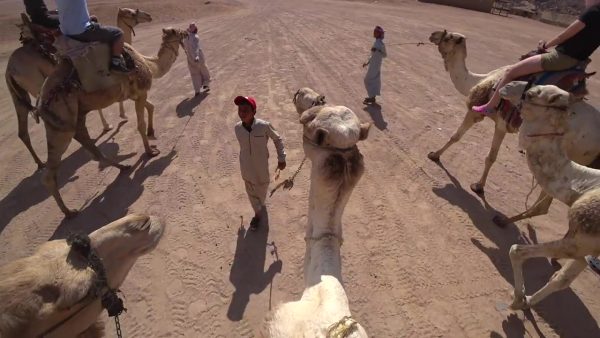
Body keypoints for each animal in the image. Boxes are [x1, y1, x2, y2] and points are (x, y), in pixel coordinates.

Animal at [38, 26, 188, 217]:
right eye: (179, 32)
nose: (188, 31)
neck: (148, 64)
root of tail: (41, 103)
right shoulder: (140, 91)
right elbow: (140, 124)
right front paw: (150, 151)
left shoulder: (134, 95)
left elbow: (152, 106)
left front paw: (152, 133)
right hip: (61, 122)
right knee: (49, 174)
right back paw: (69, 212)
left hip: (75, 118)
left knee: (92, 149)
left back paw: (123, 166)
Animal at [426, 29, 600, 227]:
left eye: (448, 37)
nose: (432, 35)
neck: (479, 80)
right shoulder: (501, 124)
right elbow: (491, 157)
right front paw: (479, 186)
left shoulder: (475, 111)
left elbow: (456, 136)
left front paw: (434, 155)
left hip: (572, 155)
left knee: (547, 202)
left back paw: (502, 220)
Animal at [500, 81, 600, 308]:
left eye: (532, 93)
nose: (505, 85)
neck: (587, 186)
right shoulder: (585, 246)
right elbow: (561, 280)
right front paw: (526, 301)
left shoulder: (578, 242)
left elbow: (517, 250)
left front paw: (518, 299)